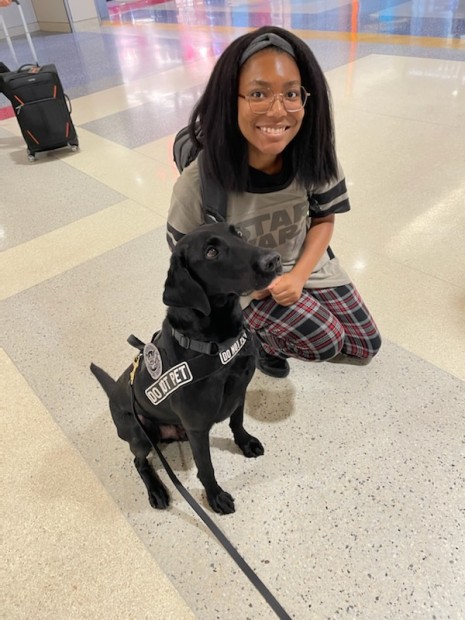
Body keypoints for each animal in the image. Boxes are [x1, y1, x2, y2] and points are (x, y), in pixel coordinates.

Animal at [89, 223, 280, 512]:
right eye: (211, 252)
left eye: (238, 234)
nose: (273, 259)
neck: (217, 344)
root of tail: (113, 394)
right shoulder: (197, 427)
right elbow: (206, 467)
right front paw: (215, 496)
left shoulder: (239, 392)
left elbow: (237, 421)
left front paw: (245, 443)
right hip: (140, 434)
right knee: (139, 461)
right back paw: (156, 490)